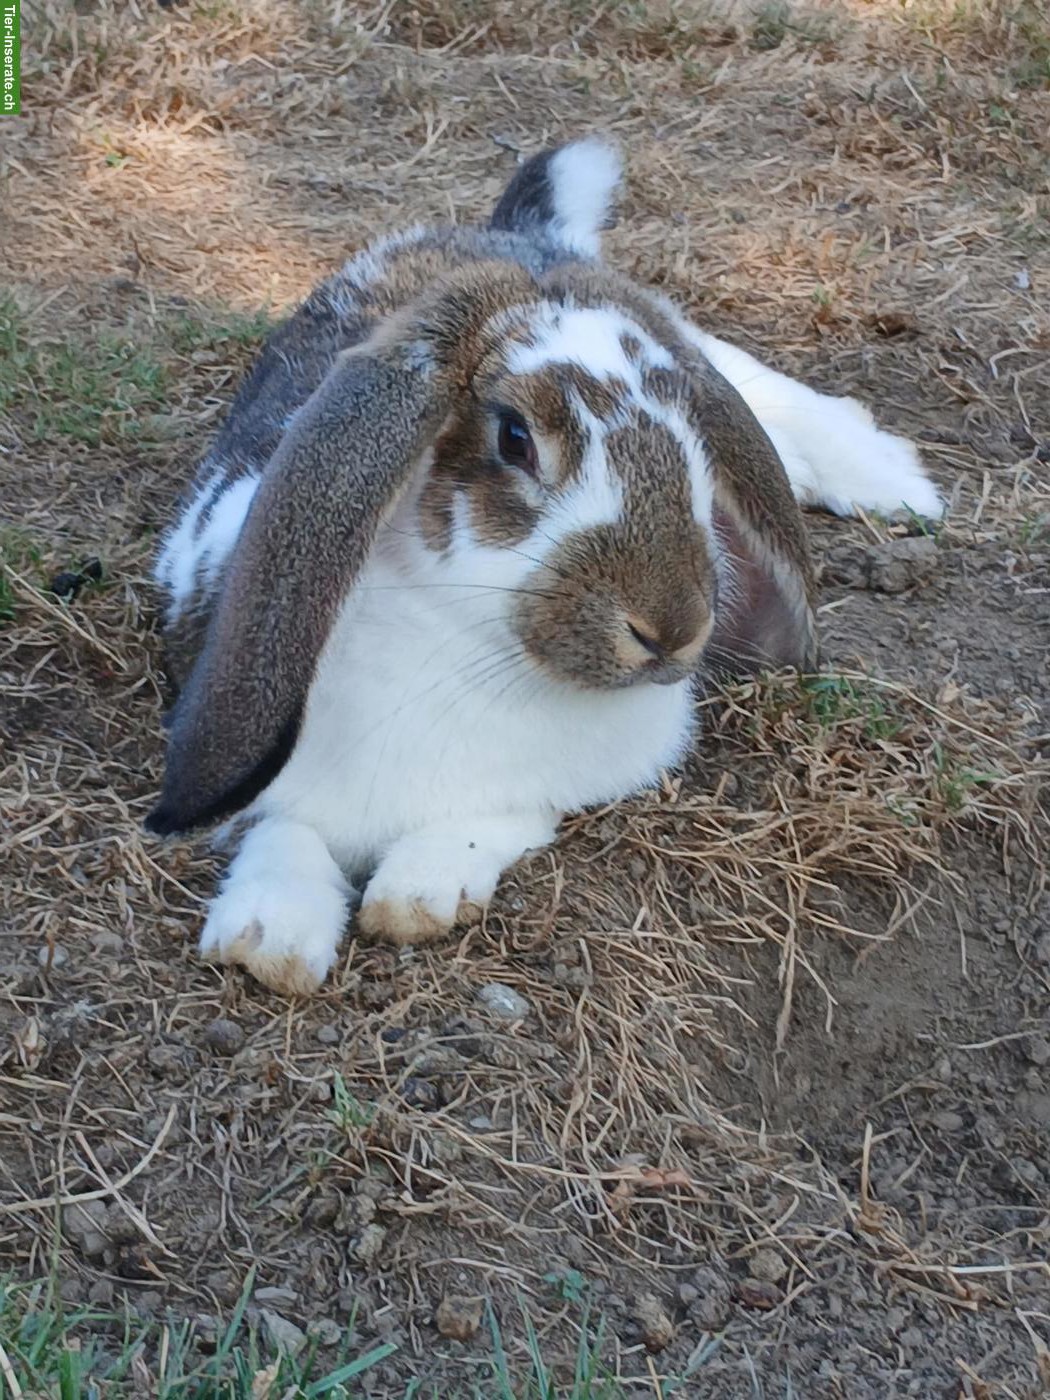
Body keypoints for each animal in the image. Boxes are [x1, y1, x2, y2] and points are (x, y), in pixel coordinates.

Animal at [149, 136, 942, 996]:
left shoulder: (571, 780)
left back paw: (892, 480)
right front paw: (270, 937)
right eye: (515, 438)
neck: (474, 647)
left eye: (693, 437)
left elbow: (493, 821)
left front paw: (419, 890)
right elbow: (282, 832)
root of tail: (516, 234)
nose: (670, 629)